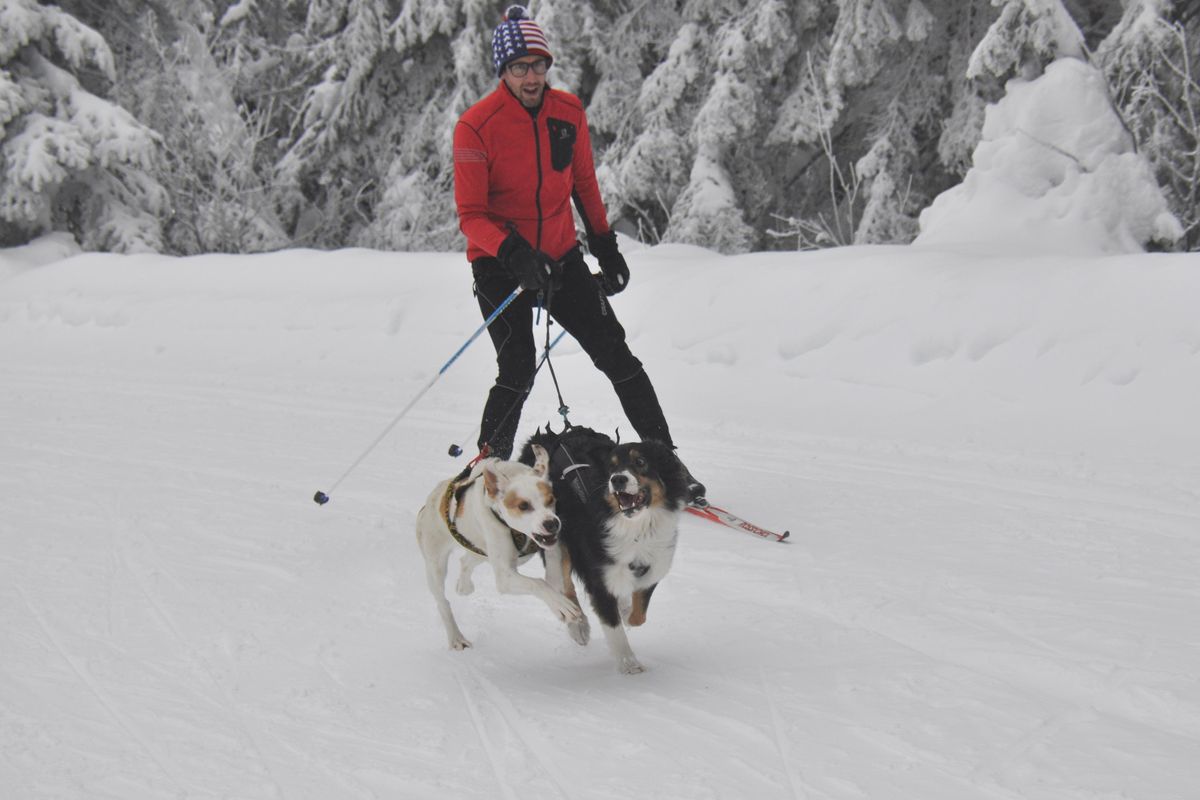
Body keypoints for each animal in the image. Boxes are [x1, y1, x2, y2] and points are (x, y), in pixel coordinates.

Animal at [415, 443, 583, 652]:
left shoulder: (553, 545)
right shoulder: (505, 576)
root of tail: (430, 502)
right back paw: (456, 637)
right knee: (442, 602)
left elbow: (555, 573)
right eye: (523, 506)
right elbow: (537, 583)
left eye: (551, 500)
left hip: (480, 550)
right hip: (435, 564)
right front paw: (561, 605)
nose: (552, 523)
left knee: (466, 561)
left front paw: (576, 622)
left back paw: (464, 586)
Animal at [518, 429, 696, 671]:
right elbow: (613, 626)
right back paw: (579, 626)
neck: (636, 528)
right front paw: (629, 664)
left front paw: (625, 610)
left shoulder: (654, 565)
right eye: (612, 468)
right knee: (561, 580)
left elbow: (639, 615)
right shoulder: (599, 575)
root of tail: (548, 436)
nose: (617, 479)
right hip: (556, 535)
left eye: (641, 462)